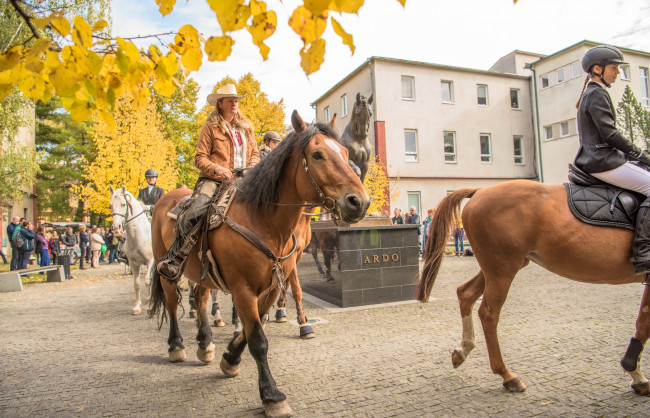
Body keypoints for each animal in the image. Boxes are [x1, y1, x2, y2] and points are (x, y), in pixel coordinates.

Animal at [109, 185, 155, 316]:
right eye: (110, 205)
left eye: (123, 204)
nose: (116, 228)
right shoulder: (134, 264)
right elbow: (137, 284)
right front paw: (137, 307)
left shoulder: (151, 261)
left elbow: (147, 281)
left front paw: (150, 305)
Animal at [149, 111, 368, 418]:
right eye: (317, 154)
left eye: (346, 153)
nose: (359, 201)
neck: (262, 220)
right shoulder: (243, 290)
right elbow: (258, 340)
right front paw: (272, 395)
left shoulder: (273, 286)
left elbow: (254, 327)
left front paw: (230, 357)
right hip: (167, 269)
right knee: (171, 304)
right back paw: (177, 346)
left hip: (202, 273)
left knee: (200, 299)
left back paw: (205, 344)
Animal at [416, 180, 648, 396]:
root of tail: (481, 190)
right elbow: (643, 325)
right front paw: (636, 374)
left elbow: (642, 323)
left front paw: (636, 375)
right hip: (502, 269)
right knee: (488, 313)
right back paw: (507, 375)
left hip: (500, 266)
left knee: (466, 293)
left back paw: (463, 350)